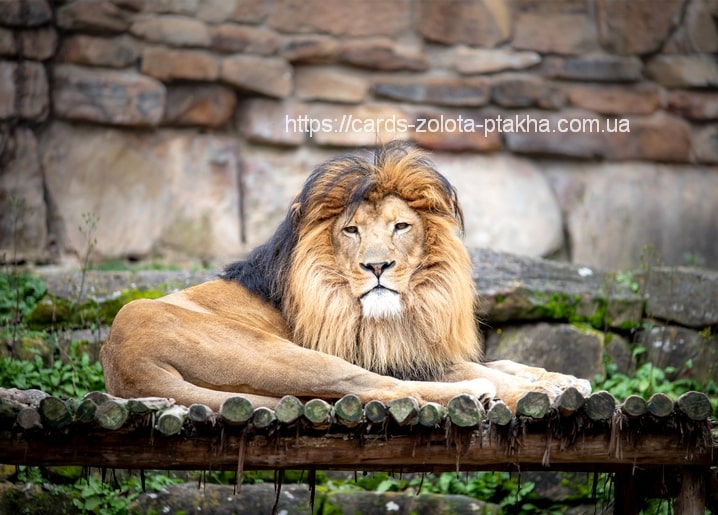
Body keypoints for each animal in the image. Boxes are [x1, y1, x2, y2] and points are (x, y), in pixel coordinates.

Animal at [101, 142, 590, 412]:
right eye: (351, 230)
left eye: (400, 226)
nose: (377, 267)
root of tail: (121, 359)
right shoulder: (390, 354)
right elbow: (487, 371)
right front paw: (539, 389)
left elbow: (507, 362)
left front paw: (563, 379)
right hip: (289, 354)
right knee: (381, 388)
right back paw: (475, 393)